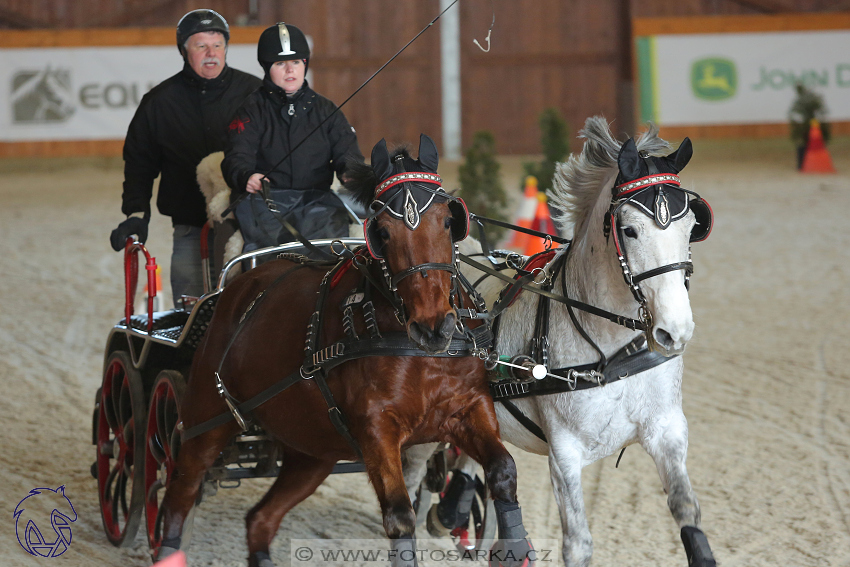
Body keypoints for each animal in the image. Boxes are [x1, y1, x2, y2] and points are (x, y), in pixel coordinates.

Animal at [154, 138, 528, 567]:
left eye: (450, 221)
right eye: (381, 231)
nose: (434, 326)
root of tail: (234, 287)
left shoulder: (470, 409)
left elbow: (503, 470)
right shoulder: (376, 429)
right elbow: (400, 514)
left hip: (310, 451)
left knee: (260, 518)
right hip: (205, 421)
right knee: (179, 495)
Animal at [400, 116, 712, 567]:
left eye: (692, 227)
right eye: (630, 230)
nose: (675, 330)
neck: (610, 354)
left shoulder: (667, 430)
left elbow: (687, 510)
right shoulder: (564, 453)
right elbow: (577, 543)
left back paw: (453, 512)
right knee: (410, 480)